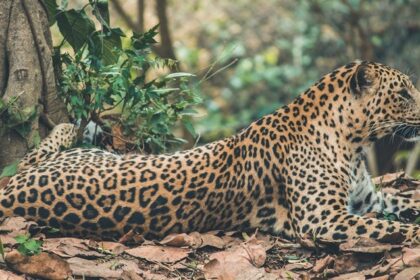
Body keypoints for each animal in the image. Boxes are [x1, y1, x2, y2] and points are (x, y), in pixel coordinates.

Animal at [0, 60, 420, 243]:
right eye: (403, 93)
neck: (354, 144)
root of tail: (12, 193)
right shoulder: (324, 220)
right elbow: (386, 227)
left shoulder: (367, 200)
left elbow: (403, 204)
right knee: (29, 156)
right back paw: (71, 125)